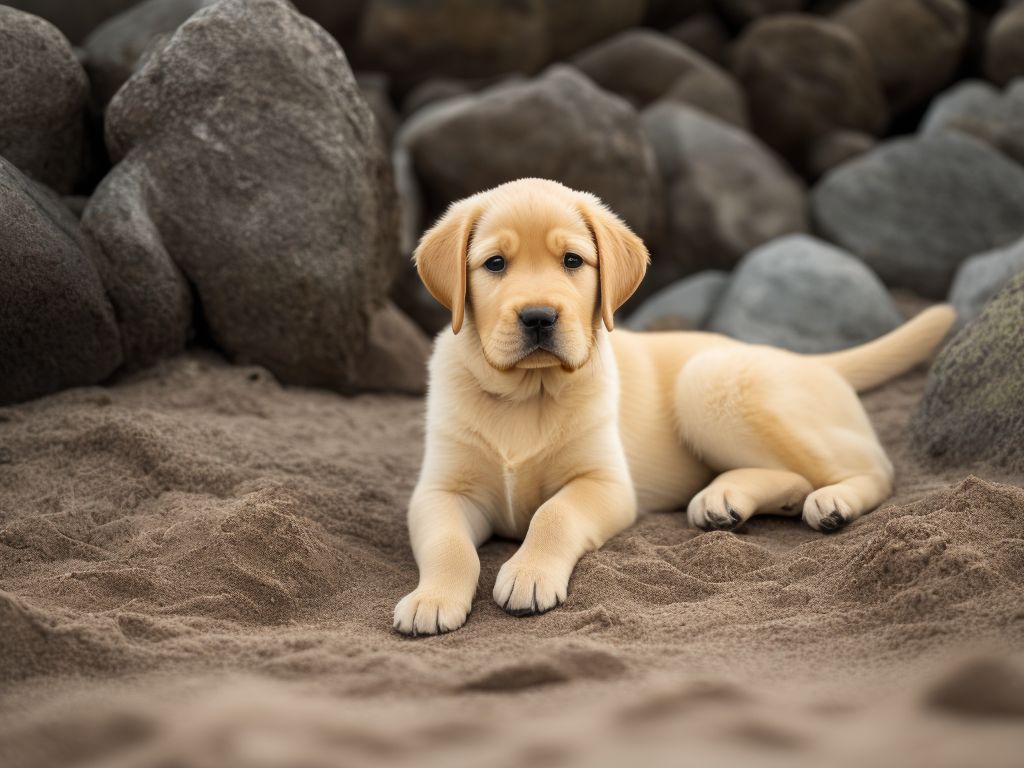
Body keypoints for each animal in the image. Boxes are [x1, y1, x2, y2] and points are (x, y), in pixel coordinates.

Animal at [395, 177, 954, 634]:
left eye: (573, 261)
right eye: (495, 264)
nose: (537, 317)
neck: (527, 394)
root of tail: (815, 361)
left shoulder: (605, 484)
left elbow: (554, 514)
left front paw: (529, 574)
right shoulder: (440, 490)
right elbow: (448, 544)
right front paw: (431, 599)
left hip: (708, 380)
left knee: (873, 467)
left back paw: (832, 501)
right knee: (795, 477)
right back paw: (725, 499)